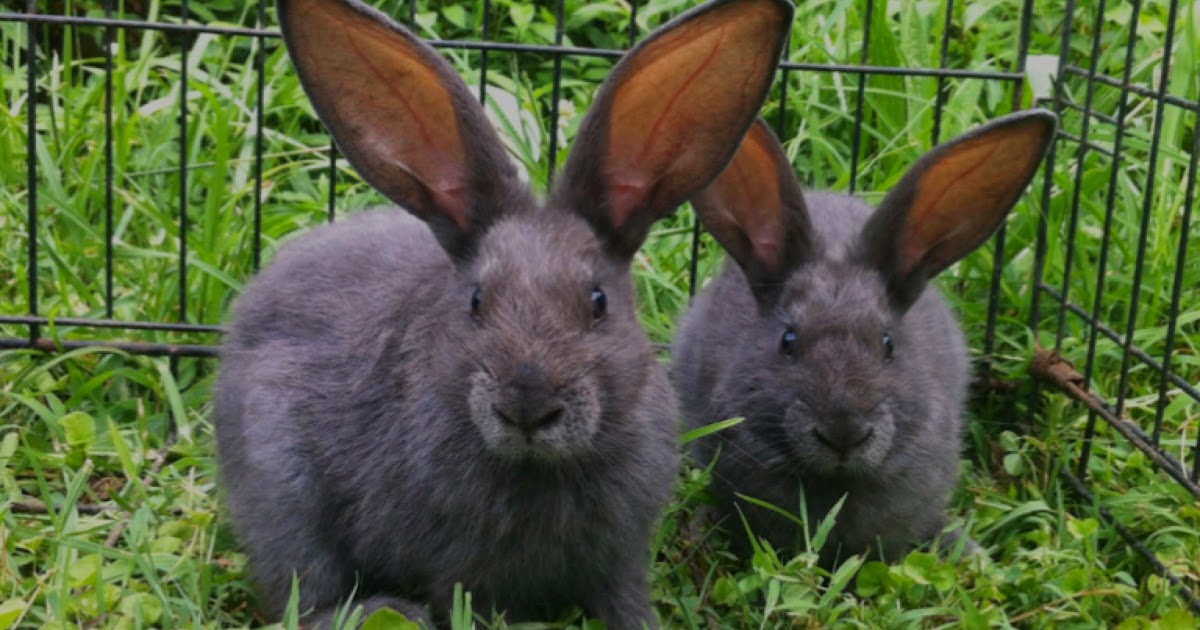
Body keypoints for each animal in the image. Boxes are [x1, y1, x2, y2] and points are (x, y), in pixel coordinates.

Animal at [214, 0, 794, 627]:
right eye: (475, 301)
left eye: (598, 302)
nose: (528, 406)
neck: (539, 468)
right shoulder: (459, 568)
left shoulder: (621, 559)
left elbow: (626, 601)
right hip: (282, 487)